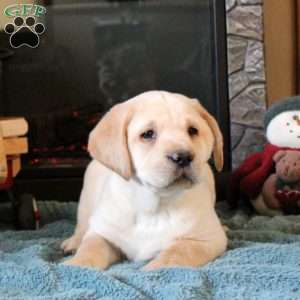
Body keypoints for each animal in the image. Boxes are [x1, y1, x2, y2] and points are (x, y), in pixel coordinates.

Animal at [61, 91, 227, 270]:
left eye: (192, 130)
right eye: (148, 134)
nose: (183, 157)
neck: (152, 207)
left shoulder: (206, 239)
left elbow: (174, 254)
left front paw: (153, 269)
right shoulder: (103, 233)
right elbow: (90, 248)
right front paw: (74, 266)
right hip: (86, 199)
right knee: (83, 226)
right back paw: (73, 243)